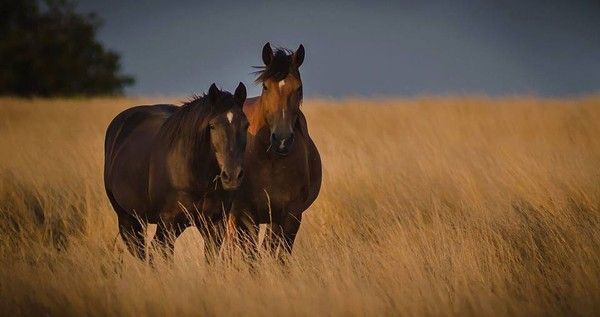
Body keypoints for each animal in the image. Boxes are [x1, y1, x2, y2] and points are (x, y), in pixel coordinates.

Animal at [105, 82, 248, 260]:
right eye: (212, 126)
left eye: (246, 125)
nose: (232, 176)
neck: (196, 176)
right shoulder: (168, 225)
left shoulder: (214, 224)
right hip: (127, 219)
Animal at [229, 42, 322, 256]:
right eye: (265, 86)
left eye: (298, 87)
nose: (282, 139)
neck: (270, 161)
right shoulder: (247, 215)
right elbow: (250, 254)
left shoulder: (290, 216)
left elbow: (280, 255)